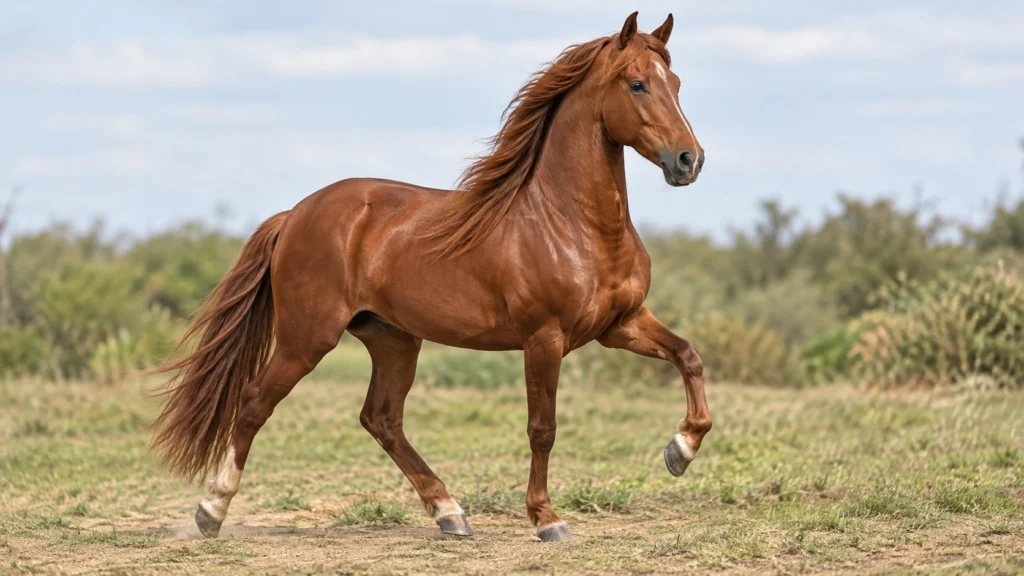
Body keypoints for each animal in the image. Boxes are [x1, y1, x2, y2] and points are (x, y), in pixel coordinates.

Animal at [150, 12, 711, 543]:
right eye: (637, 84)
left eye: (676, 82)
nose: (689, 160)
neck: (570, 224)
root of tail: (295, 214)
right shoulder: (544, 339)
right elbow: (542, 428)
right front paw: (547, 519)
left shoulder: (619, 324)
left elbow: (688, 356)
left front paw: (679, 450)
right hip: (306, 338)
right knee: (254, 404)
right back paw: (210, 512)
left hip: (393, 339)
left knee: (380, 418)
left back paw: (450, 513)